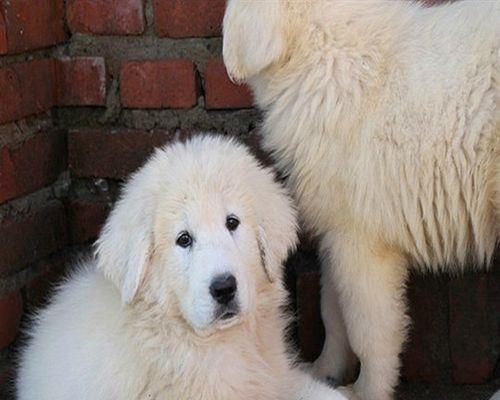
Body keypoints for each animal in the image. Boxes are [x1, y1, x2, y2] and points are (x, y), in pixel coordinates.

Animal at [224, 1, 500, 398]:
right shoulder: (335, 232)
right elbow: (332, 309)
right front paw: (322, 372)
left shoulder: (361, 241)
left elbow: (369, 328)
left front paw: (366, 389)